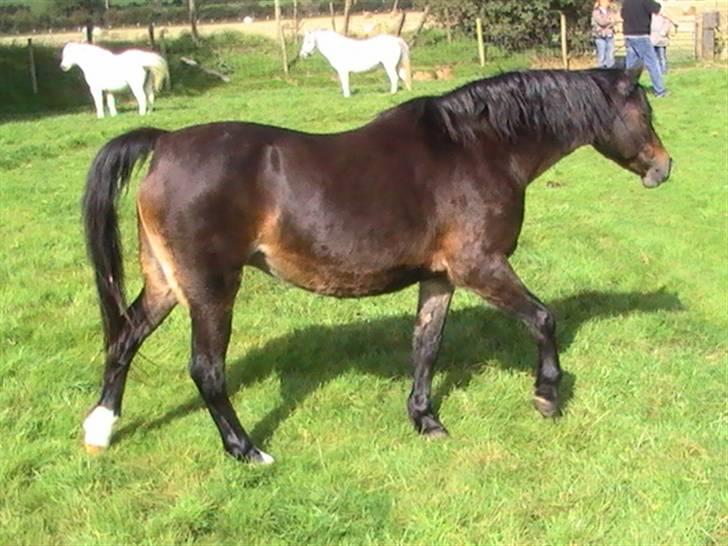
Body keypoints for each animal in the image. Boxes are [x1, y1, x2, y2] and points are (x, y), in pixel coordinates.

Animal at [81, 66, 672, 462]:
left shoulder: (439, 277)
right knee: (206, 369)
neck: (476, 148)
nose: (664, 168)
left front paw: (425, 419)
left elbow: (427, 345)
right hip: (210, 289)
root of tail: (164, 143)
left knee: (124, 338)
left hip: (165, 282)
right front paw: (547, 395)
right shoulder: (481, 266)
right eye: (644, 112)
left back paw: (100, 430)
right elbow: (544, 319)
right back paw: (247, 450)